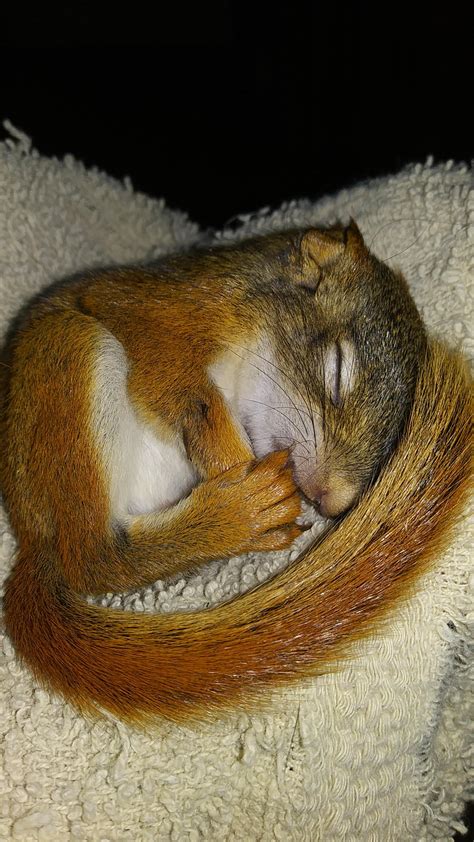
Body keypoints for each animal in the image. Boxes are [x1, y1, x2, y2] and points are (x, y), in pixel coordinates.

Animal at [0, 221, 472, 720]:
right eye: (338, 368)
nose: (333, 501)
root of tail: (31, 537)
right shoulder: (158, 308)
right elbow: (184, 386)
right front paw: (232, 458)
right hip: (68, 349)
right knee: (95, 557)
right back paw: (240, 514)